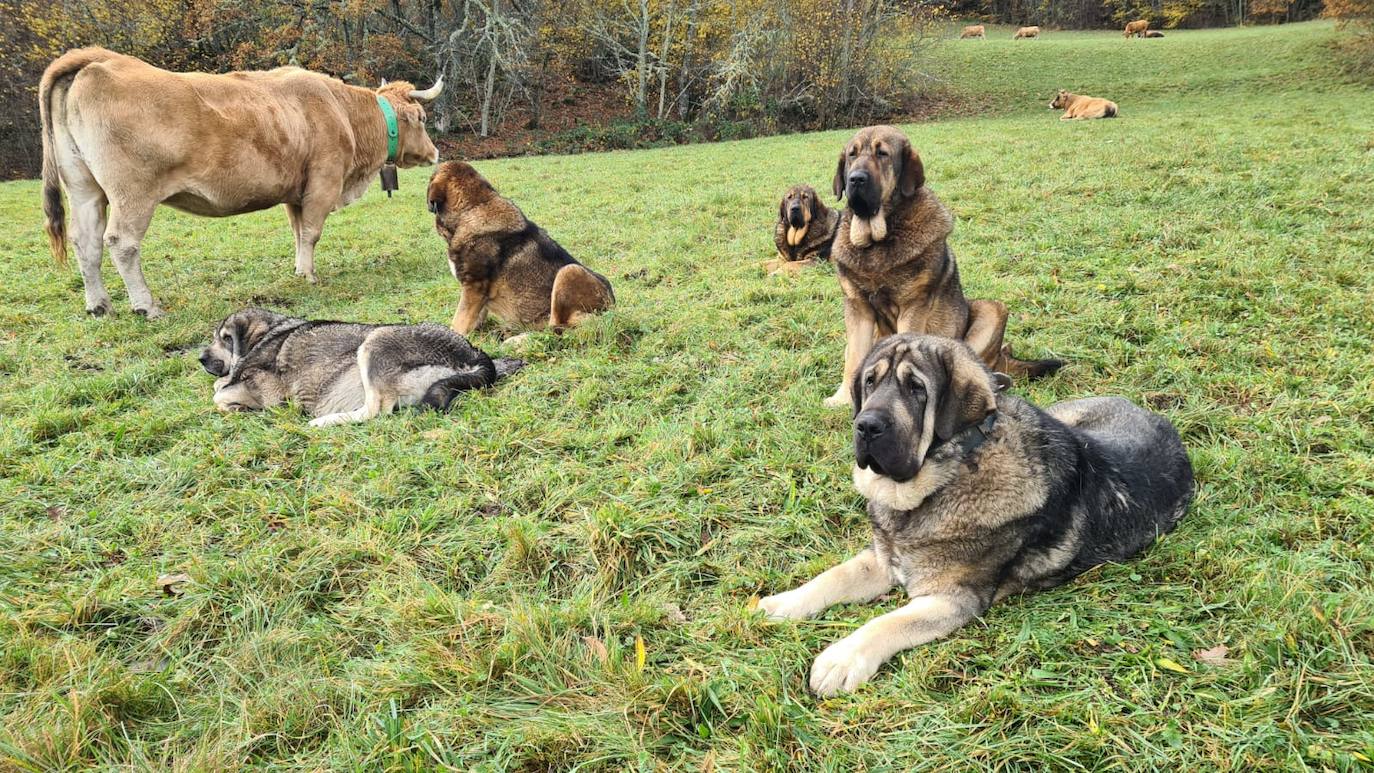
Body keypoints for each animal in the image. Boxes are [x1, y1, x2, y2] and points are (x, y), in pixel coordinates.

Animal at [37, 47, 442, 317]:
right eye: (422, 118)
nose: (436, 153)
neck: (340, 110)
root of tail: (100, 58)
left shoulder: (296, 192)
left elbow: (298, 233)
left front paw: (300, 271)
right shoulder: (323, 183)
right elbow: (312, 232)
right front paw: (309, 276)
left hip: (85, 190)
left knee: (86, 242)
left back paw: (99, 305)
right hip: (132, 193)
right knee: (121, 243)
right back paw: (146, 306)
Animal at [200, 308, 524, 428]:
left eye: (222, 338)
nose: (200, 358)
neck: (269, 332)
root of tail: (472, 351)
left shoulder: (266, 392)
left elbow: (218, 393)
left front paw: (235, 406)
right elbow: (219, 386)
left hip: (374, 341)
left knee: (375, 411)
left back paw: (323, 421)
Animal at [420, 162, 610, 339]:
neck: (474, 208)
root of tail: (612, 307)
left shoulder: (474, 287)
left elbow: (459, 322)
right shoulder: (476, 294)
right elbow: (474, 318)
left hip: (569, 271)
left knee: (557, 328)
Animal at [763, 336, 1192, 697]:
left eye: (917, 389)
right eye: (870, 382)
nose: (865, 425)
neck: (948, 475)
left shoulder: (951, 598)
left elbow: (888, 622)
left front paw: (842, 658)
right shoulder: (884, 558)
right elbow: (832, 577)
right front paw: (782, 604)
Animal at [818, 125, 1055, 411]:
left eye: (882, 154)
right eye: (851, 155)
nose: (855, 179)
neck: (878, 241)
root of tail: (1001, 356)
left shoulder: (913, 307)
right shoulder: (857, 308)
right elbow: (854, 357)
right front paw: (842, 398)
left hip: (992, 310)